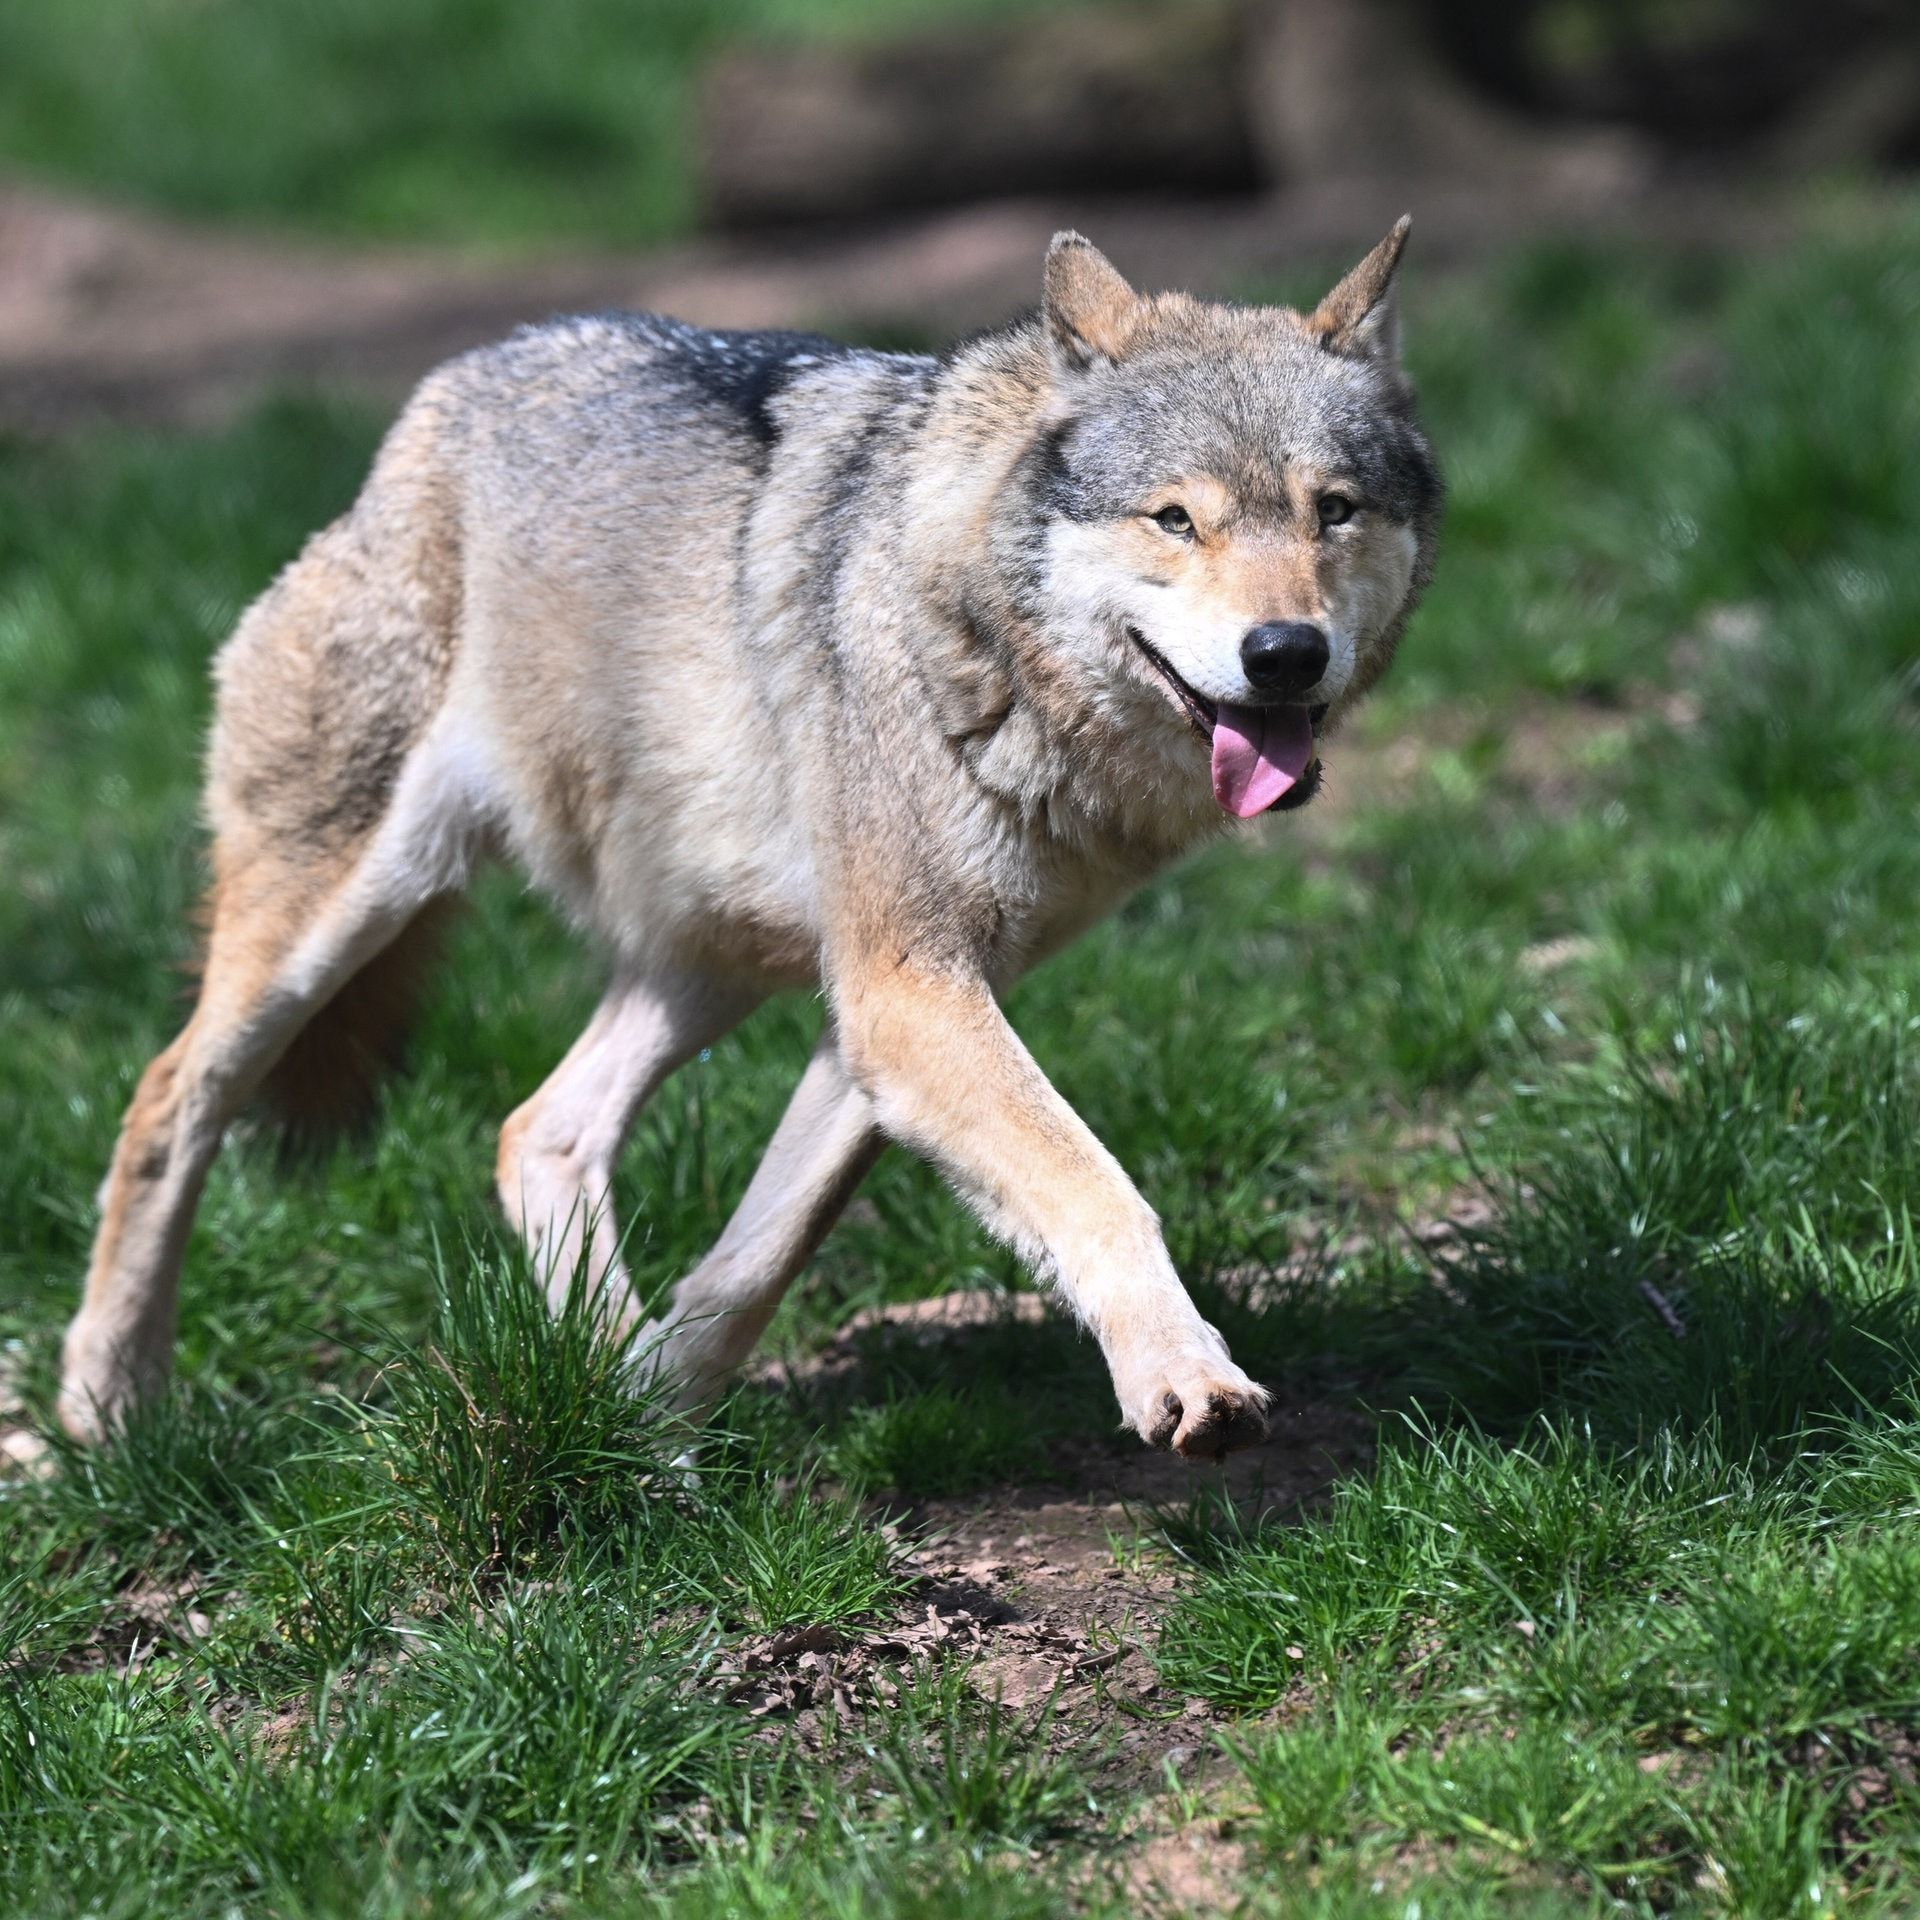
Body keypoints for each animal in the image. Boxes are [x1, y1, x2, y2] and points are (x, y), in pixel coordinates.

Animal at [59, 222, 1441, 1459]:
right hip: (338, 922)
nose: (1286, 653)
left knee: (539, 1127)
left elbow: (756, 1261)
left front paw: (648, 1425)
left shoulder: (887, 1013)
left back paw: (597, 1381)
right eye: (1175, 519)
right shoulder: (908, 994)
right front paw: (1183, 1378)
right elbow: (1097, 1185)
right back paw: (107, 1410)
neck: (978, 637)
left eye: (1332, 512)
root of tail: (438, 402)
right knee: (167, 1100)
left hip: (714, 962)